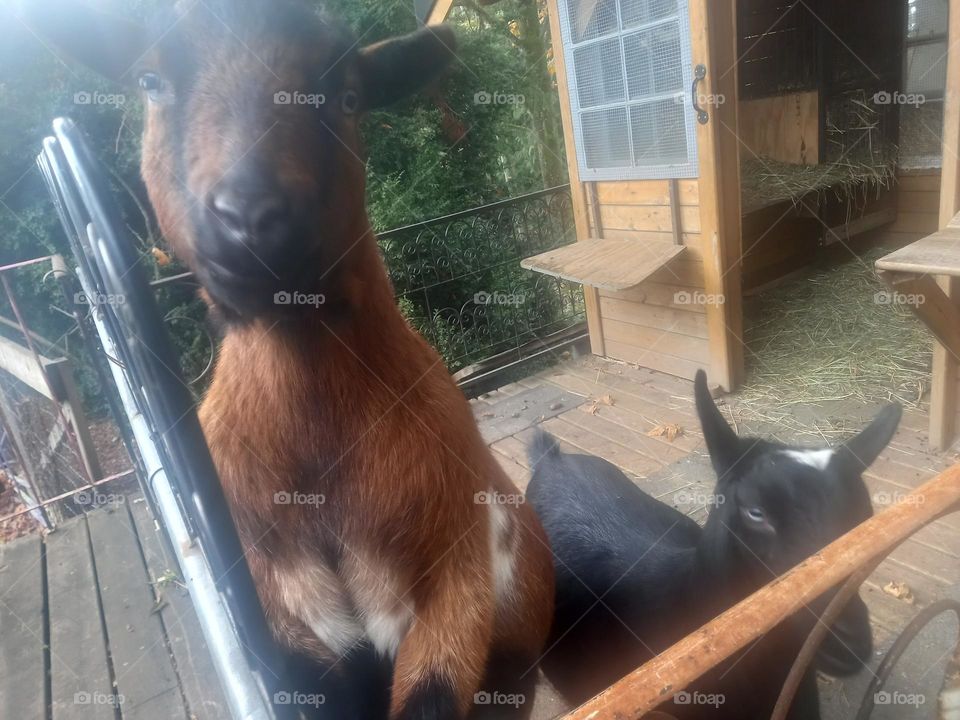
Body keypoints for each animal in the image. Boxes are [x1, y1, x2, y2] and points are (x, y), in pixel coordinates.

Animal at [25, 1, 555, 717]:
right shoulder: (279, 619)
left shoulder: (458, 567)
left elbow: (435, 686)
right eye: (149, 82)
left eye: (349, 96)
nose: (251, 216)